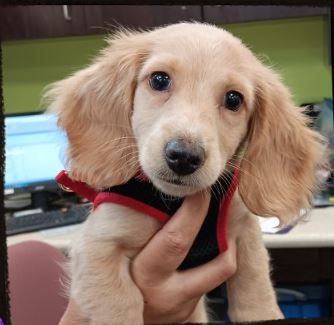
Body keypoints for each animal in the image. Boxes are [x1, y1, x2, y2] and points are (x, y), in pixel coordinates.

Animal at [46, 23, 324, 324]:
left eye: (233, 99)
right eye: (159, 80)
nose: (184, 157)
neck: (173, 202)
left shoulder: (245, 231)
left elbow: (255, 286)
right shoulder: (98, 245)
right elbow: (119, 306)